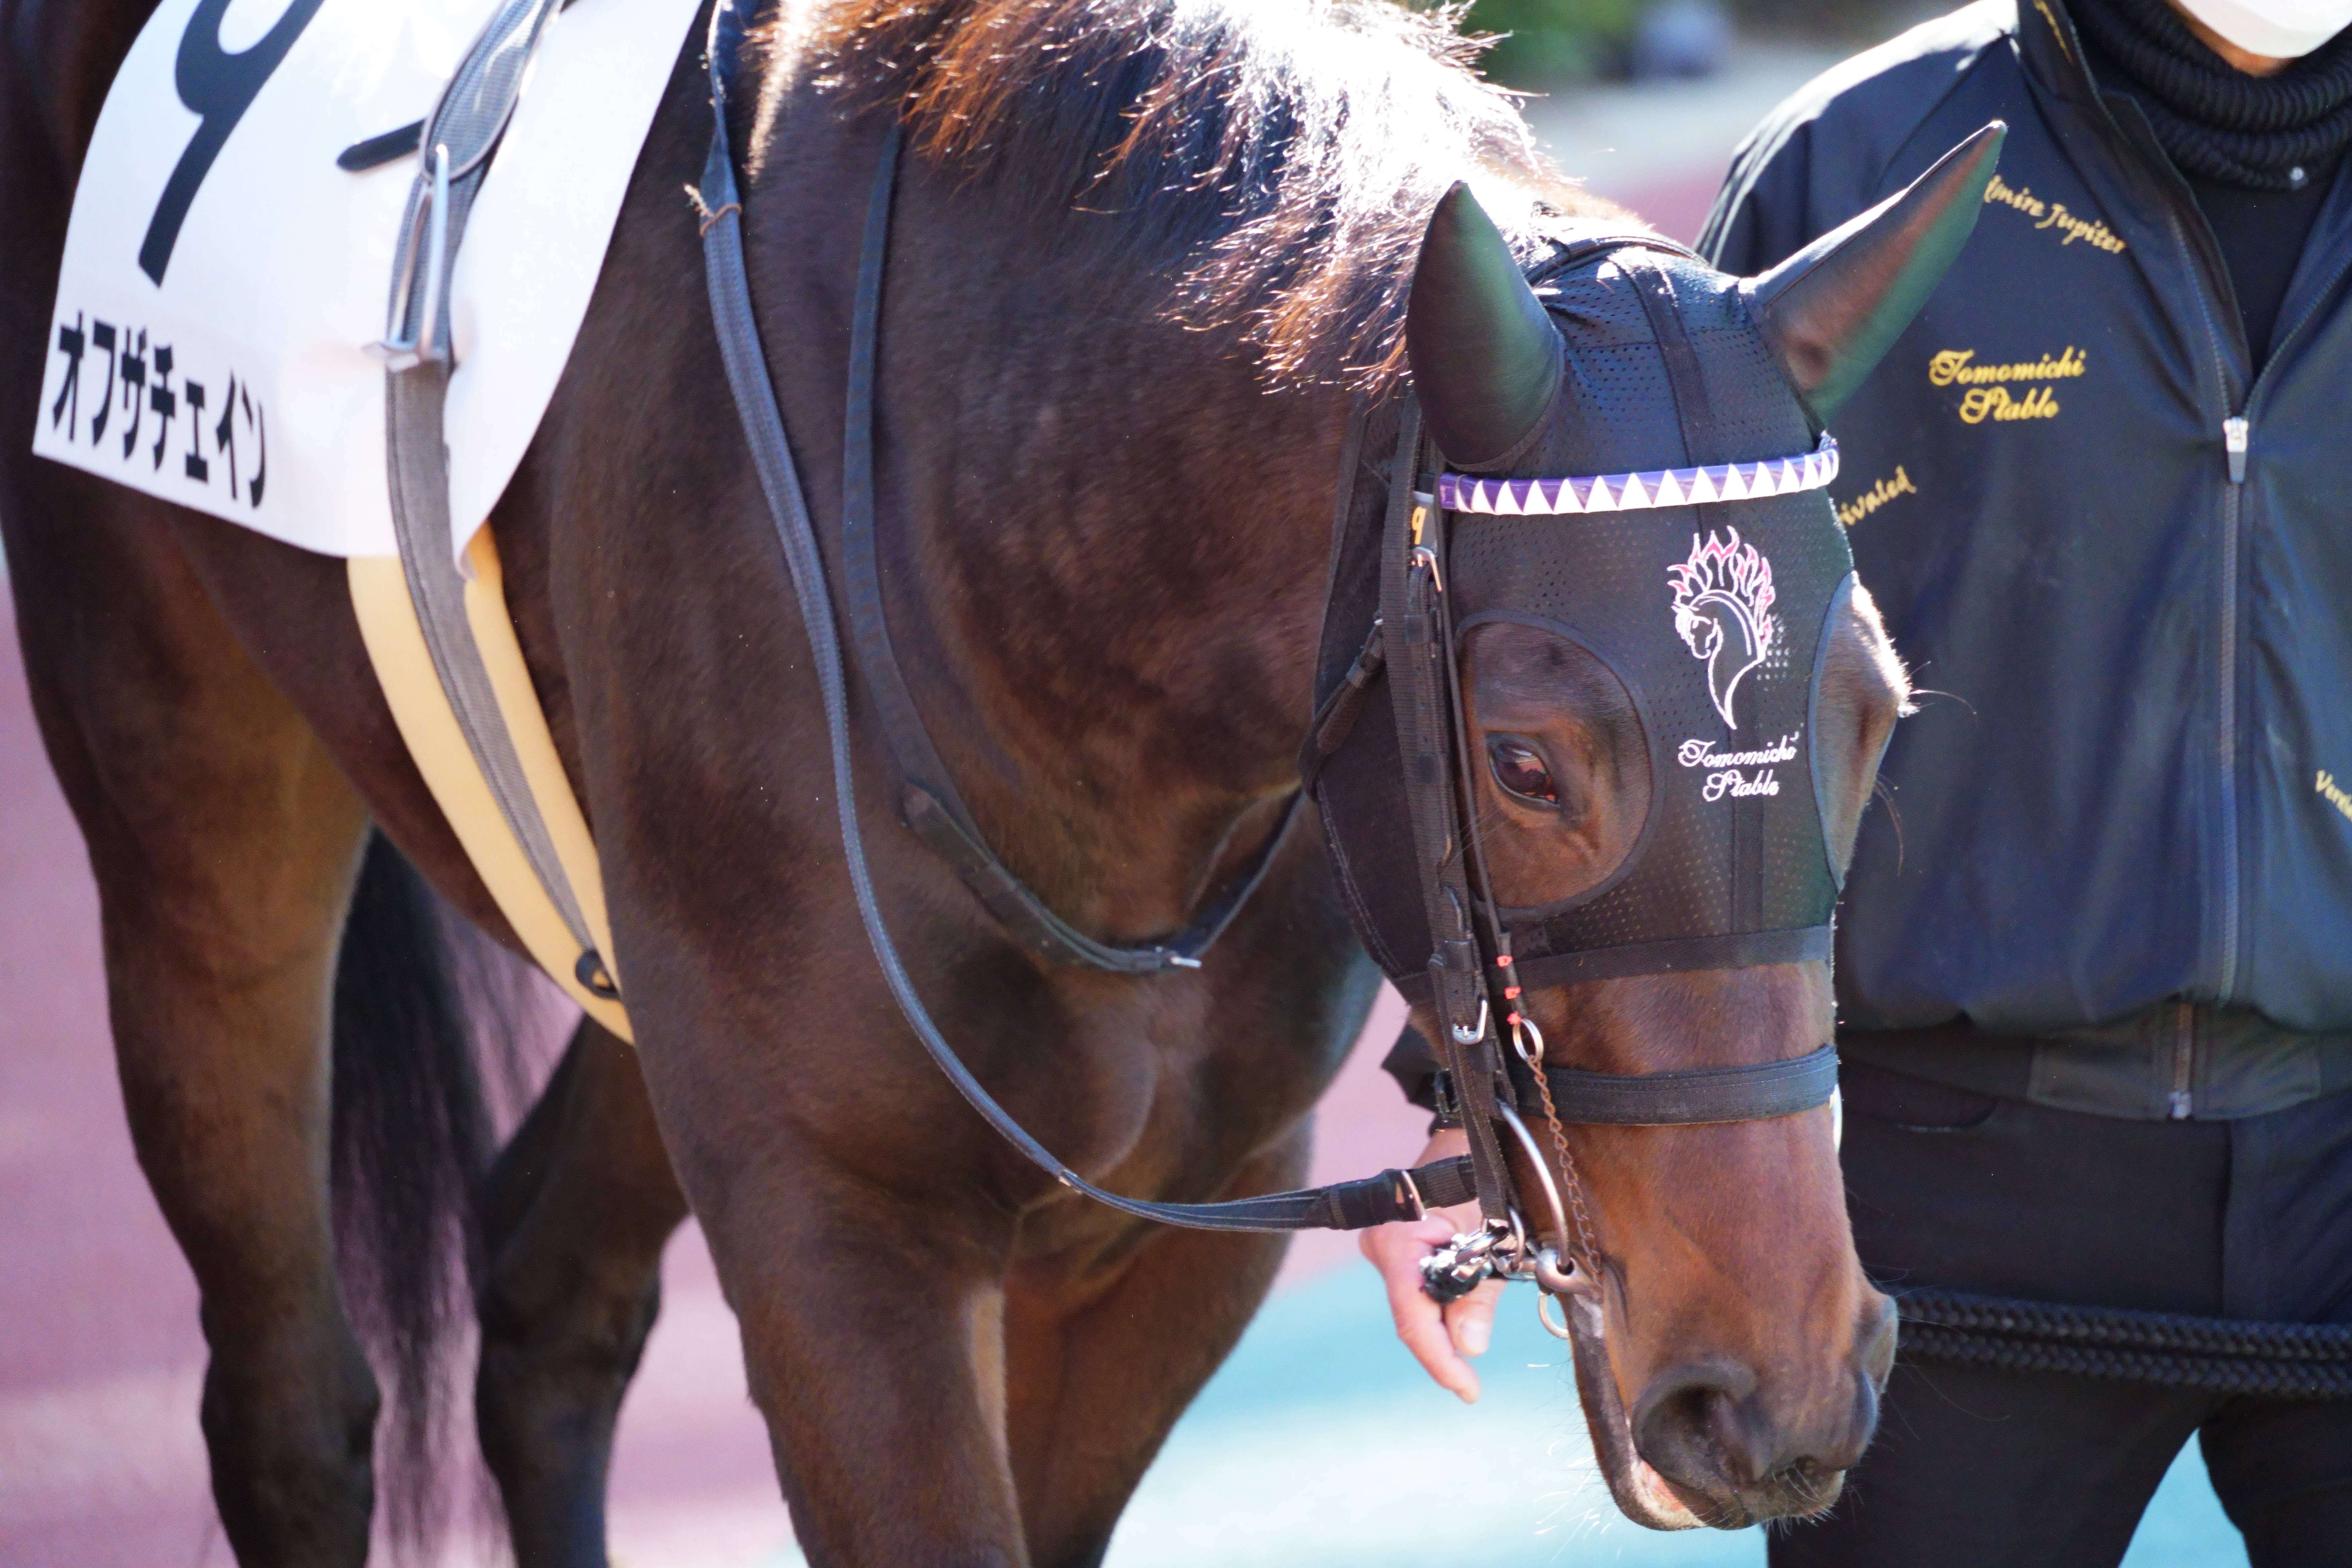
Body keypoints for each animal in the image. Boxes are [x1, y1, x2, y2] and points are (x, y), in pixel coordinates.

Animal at [0, 0, 1947, 1561]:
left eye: (1874, 715)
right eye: (1526, 761)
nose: (1786, 1388)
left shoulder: (1188, 1221)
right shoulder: (842, 1229)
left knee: (548, 1298)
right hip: (194, 799)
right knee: (293, 1401)